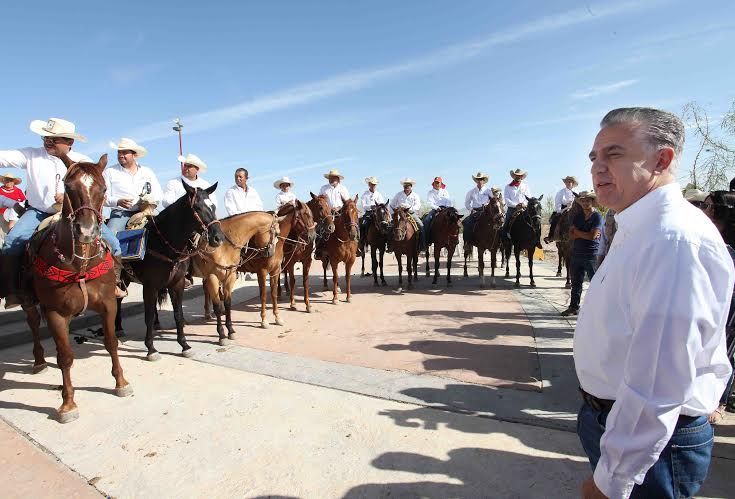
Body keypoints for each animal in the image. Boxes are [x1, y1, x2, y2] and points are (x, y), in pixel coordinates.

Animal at [21, 154, 131, 424]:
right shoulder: (55, 312)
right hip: (31, 303)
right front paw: (67, 404)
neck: (80, 263)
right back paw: (38, 361)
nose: (87, 231)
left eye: (103, 189)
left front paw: (121, 382)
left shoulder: (107, 304)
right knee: (33, 325)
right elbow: (65, 357)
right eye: (68, 187)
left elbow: (111, 342)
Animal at [126, 182, 224, 362]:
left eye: (213, 206)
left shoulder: (176, 284)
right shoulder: (150, 286)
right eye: (197, 207)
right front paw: (151, 349)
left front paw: (184, 345)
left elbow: (178, 314)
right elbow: (148, 316)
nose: (218, 238)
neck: (161, 245)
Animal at [193, 209, 284, 342]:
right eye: (276, 233)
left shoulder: (230, 276)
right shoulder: (212, 276)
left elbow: (228, 303)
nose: (270, 253)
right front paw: (222, 335)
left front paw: (230, 331)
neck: (225, 245)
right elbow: (218, 305)